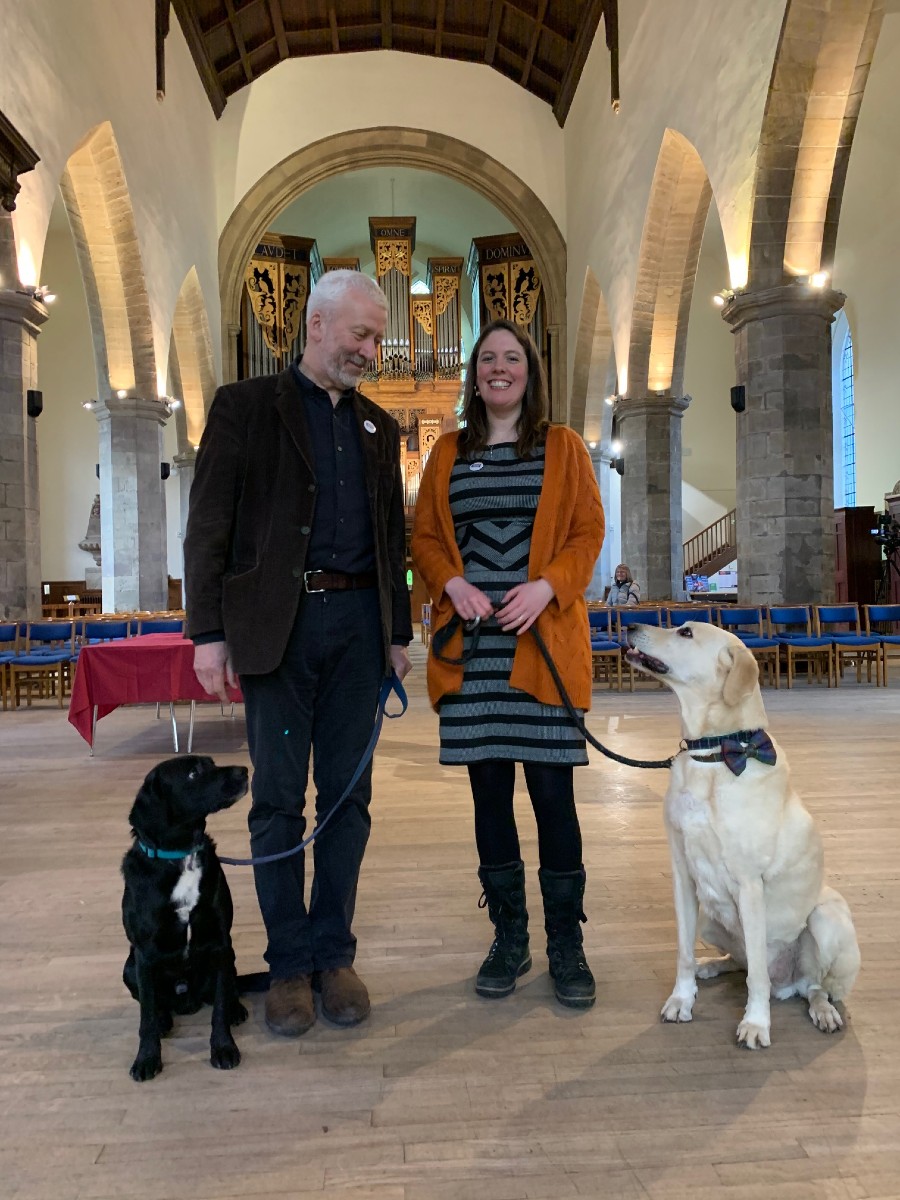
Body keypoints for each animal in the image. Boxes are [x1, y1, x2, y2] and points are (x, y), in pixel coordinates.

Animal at [121, 753, 250, 1084]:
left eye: (212, 763)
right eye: (193, 773)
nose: (245, 771)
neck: (181, 856)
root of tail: (186, 1001)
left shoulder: (220, 944)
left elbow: (219, 1008)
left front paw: (223, 1048)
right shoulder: (144, 955)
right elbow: (146, 1017)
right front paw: (147, 1059)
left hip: (230, 956)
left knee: (226, 989)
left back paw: (236, 1008)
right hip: (129, 968)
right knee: (153, 1004)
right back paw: (165, 1019)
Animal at [628, 624, 859, 1046]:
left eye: (685, 632)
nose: (631, 627)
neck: (713, 753)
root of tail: (789, 985)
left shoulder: (750, 885)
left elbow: (757, 976)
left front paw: (755, 1023)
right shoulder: (682, 876)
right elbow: (683, 952)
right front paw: (682, 999)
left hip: (826, 917)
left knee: (814, 986)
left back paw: (823, 1012)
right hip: (708, 918)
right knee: (739, 962)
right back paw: (708, 966)